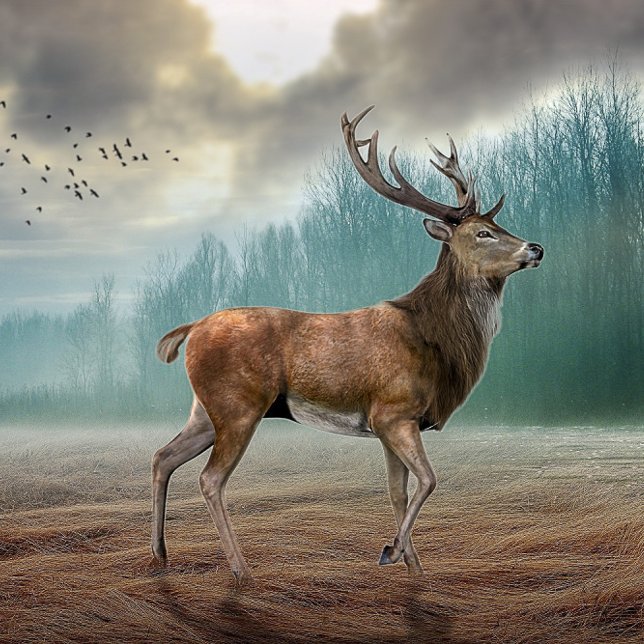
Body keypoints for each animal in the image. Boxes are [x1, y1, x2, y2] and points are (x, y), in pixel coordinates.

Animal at [150, 105, 544, 585]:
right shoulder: (393, 411)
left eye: (497, 224)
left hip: (206, 410)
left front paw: (412, 565)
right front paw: (391, 551)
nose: (536, 248)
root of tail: (191, 329)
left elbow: (398, 492)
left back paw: (160, 555)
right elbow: (429, 481)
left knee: (163, 456)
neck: (435, 341)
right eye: (483, 233)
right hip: (238, 404)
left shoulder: (389, 424)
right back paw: (242, 571)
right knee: (209, 479)